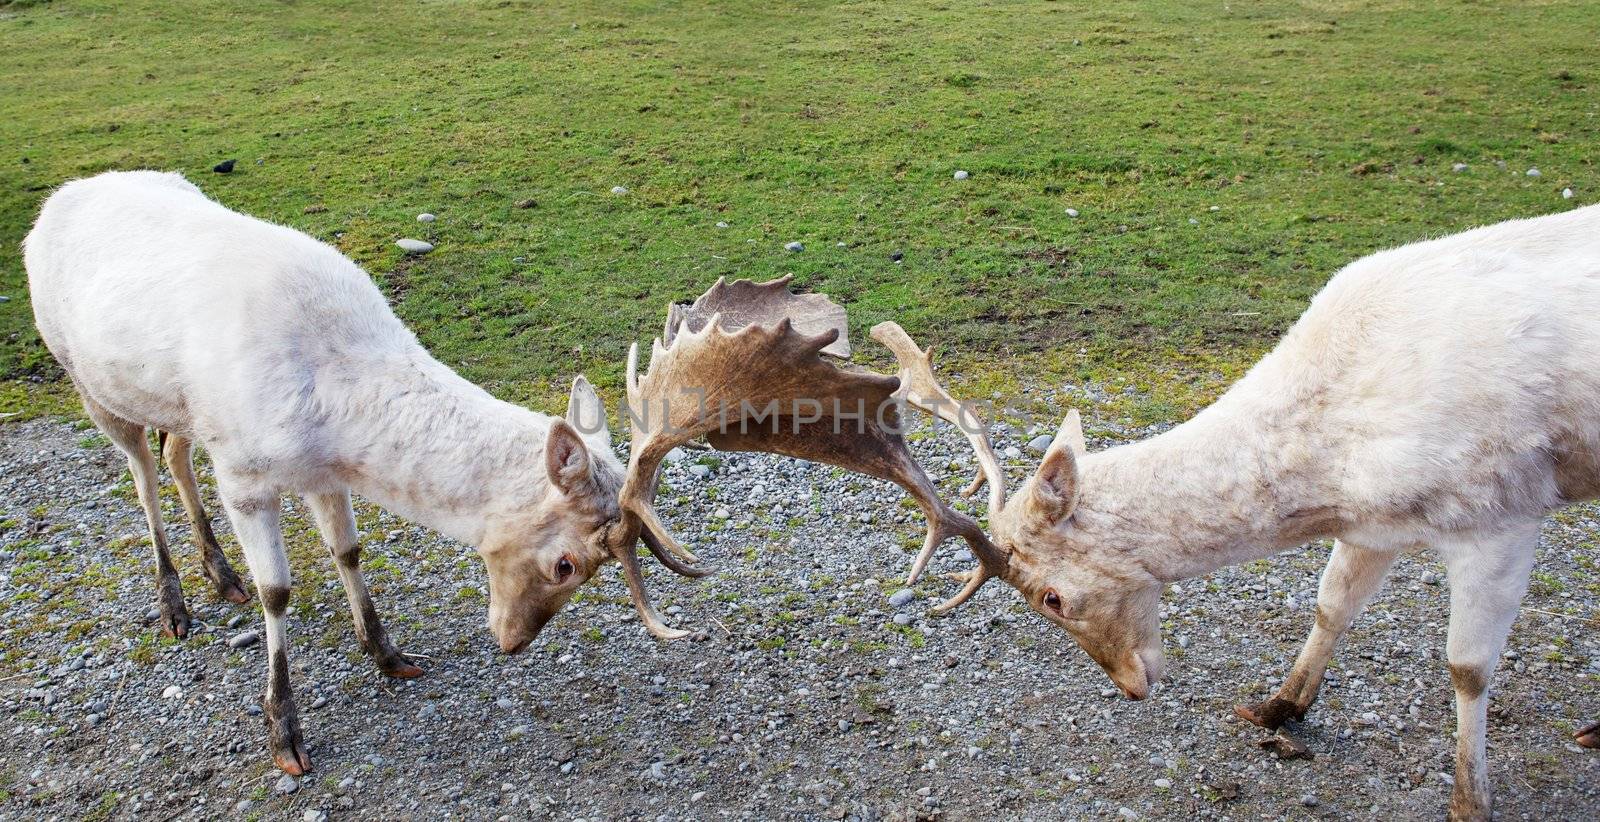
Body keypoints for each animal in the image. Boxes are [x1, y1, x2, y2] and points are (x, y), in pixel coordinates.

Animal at [23, 169, 700, 770]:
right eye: (566, 565)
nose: (513, 641)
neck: (330, 404)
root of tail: (57, 201)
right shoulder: (243, 472)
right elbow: (278, 591)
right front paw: (284, 733)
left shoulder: (323, 473)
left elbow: (348, 551)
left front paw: (387, 652)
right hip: (87, 381)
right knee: (141, 476)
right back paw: (175, 606)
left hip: (177, 406)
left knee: (173, 454)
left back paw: (220, 574)